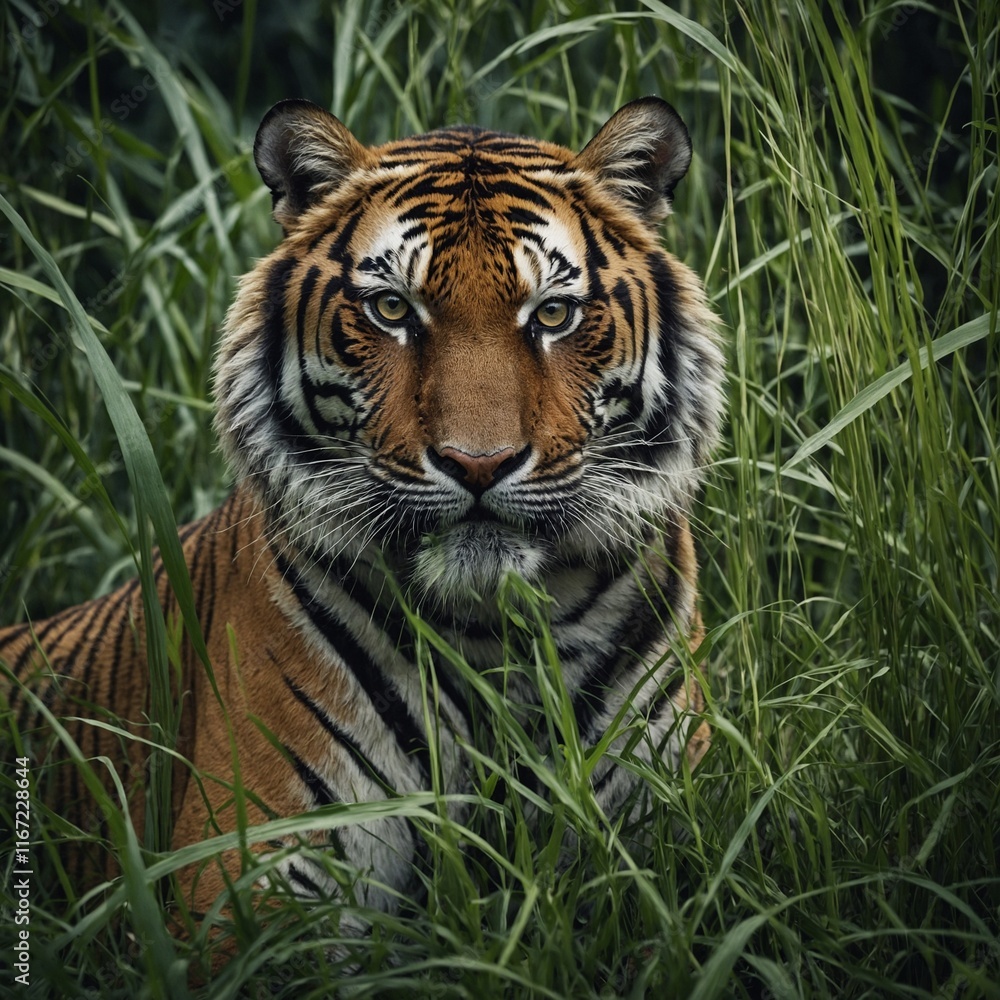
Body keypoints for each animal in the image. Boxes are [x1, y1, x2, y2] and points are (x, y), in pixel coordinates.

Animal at [1, 96, 724, 929]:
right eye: (391, 309)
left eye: (551, 315)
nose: (479, 463)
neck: (491, 632)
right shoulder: (255, 878)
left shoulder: (667, 842)